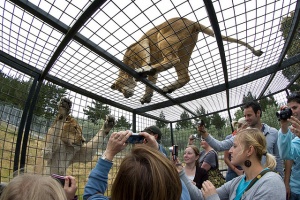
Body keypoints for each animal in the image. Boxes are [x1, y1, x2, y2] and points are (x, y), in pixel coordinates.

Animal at [111, 17, 264, 104]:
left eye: (121, 88)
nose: (125, 96)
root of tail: (192, 22)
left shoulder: (141, 45)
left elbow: (145, 59)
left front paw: (144, 68)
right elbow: (150, 83)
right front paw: (146, 97)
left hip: (164, 38)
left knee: (171, 59)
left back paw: (146, 70)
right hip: (184, 53)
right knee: (184, 76)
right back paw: (168, 87)